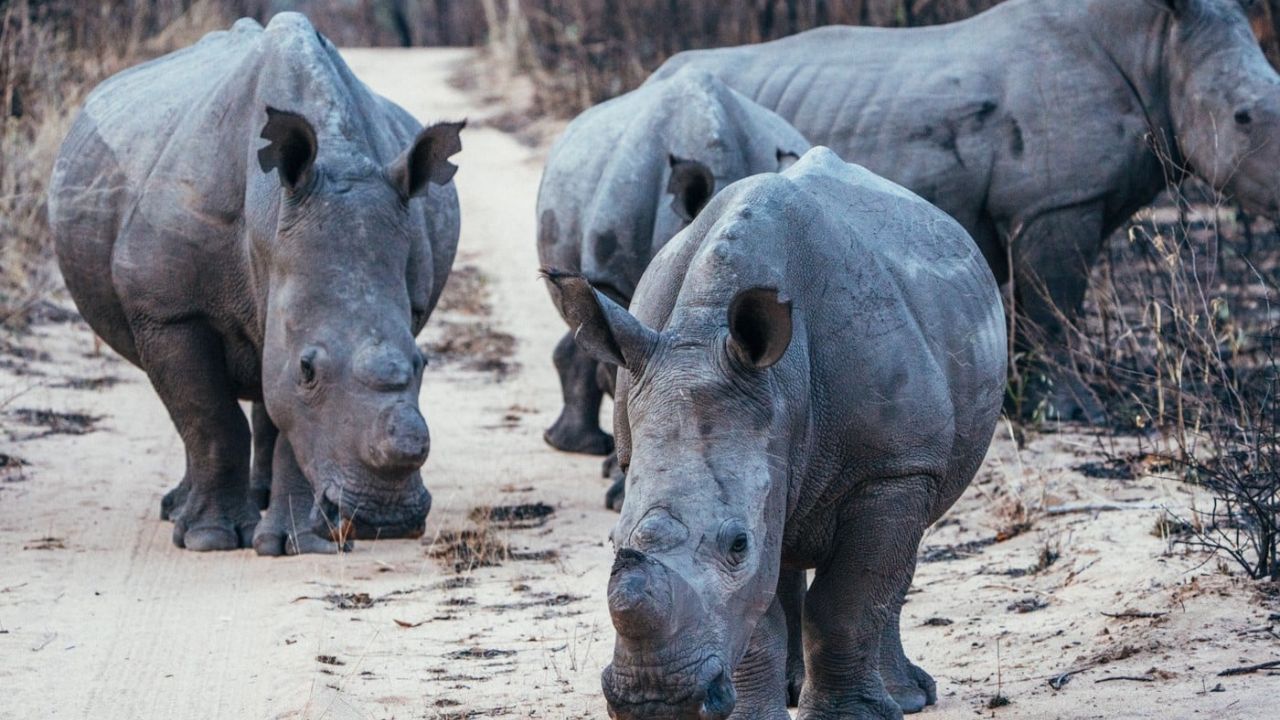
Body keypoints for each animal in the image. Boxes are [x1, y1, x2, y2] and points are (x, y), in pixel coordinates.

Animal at [47, 14, 463, 555]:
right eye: (308, 369)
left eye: (422, 364)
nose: (384, 519)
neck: (271, 215)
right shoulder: (168, 310)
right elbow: (210, 418)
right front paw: (209, 539)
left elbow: (291, 423)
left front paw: (300, 545)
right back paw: (178, 512)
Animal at [544, 147, 1006, 719]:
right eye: (611, 541)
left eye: (737, 544)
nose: (655, 701)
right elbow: (758, 610)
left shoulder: (894, 465)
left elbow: (849, 599)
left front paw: (847, 718)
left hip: (915, 440)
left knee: (895, 561)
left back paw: (908, 699)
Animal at [652, 0, 1280, 419]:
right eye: (1244, 117)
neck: (1153, 47)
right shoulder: (1057, 201)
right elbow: (1056, 310)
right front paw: (1074, 413)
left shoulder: (1052, 205)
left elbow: (1040, 312)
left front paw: (1022, 405)